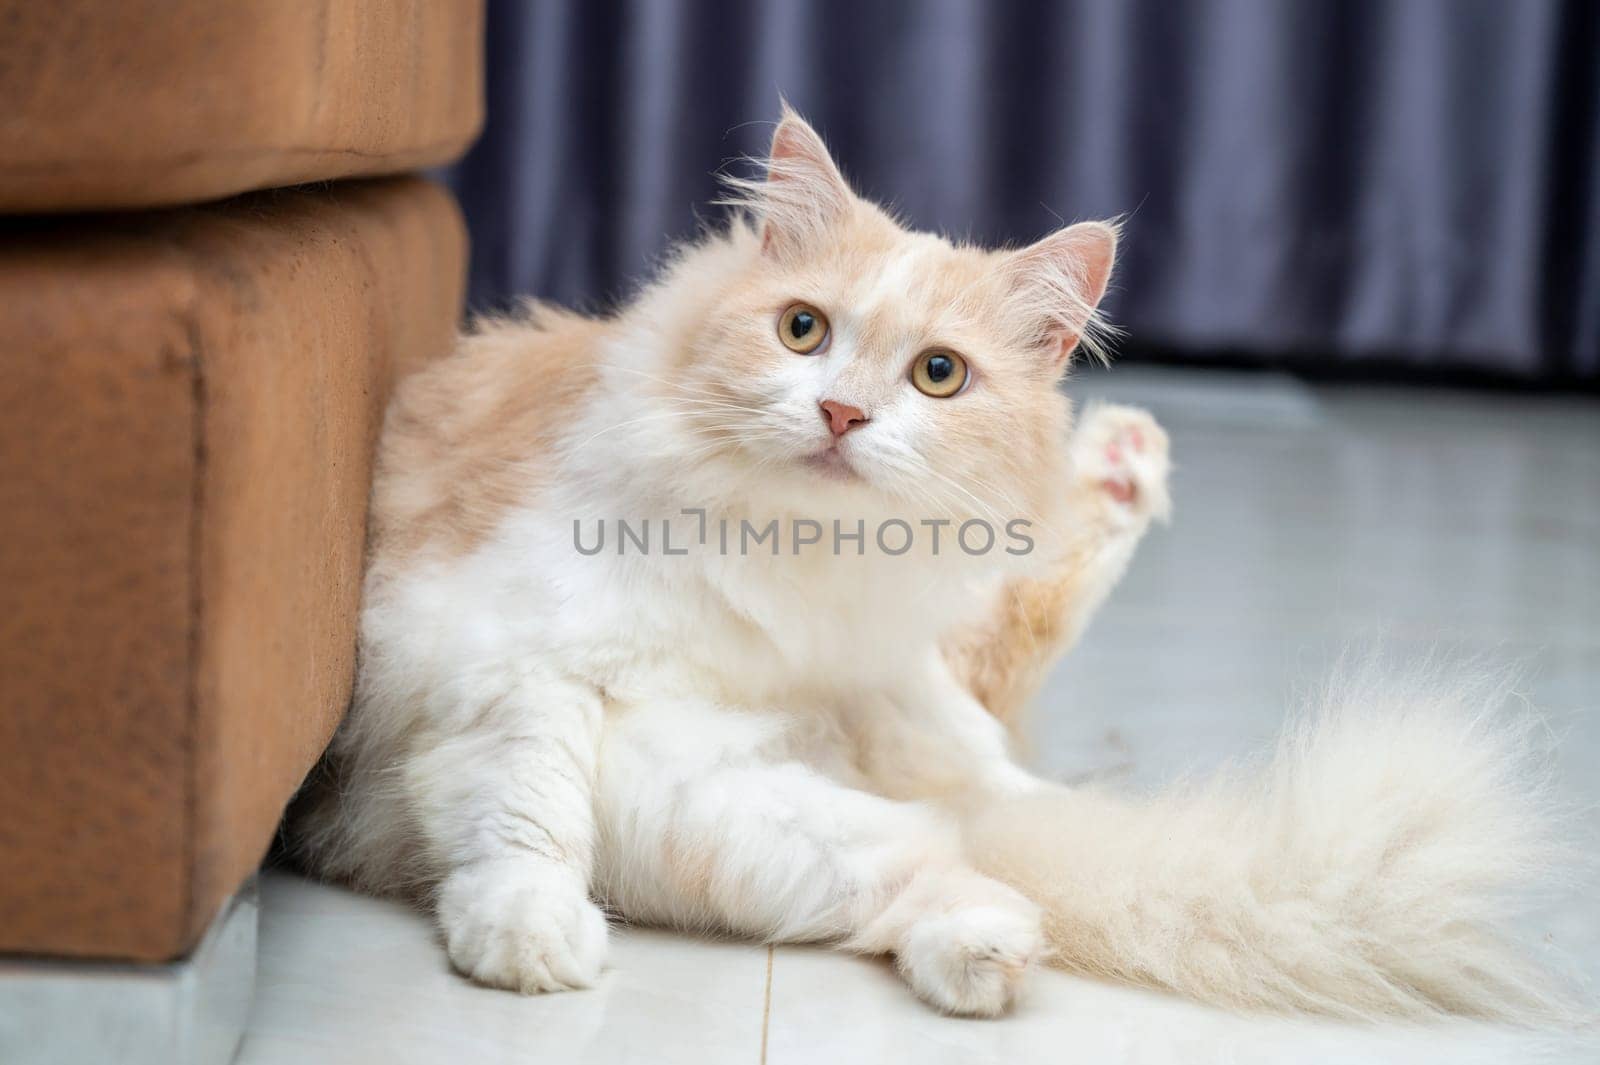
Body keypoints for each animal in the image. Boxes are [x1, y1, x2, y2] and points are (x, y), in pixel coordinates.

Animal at [294, 107, 1568, 1023]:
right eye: (801, 331)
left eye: (939, 376)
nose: (844, 415)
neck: (792, 556)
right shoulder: (516, 664)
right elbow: (526, 811)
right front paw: (526, 938)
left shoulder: (874, 672)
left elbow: (960, 755)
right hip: (694, 803)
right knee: (922, 847)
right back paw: (997, 935)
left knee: (973, 786)